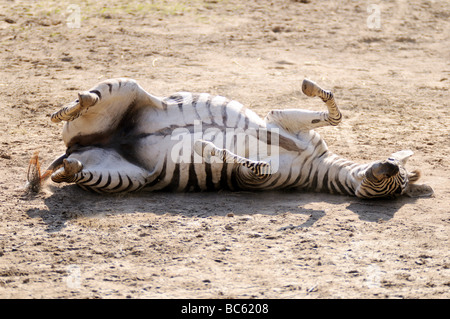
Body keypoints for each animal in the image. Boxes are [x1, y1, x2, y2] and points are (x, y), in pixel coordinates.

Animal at [25, 77, 432, 199]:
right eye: (397, 174)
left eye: (394, 186)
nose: (389, 165)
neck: (316, 164)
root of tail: (74, 147)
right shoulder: (281, 121)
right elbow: (334, 111)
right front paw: (309, 86)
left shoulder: (255, 180)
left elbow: (250, 164)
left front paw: (206, 147)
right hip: (126, 88)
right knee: (87, 102)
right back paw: (70, 107)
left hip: (123, 177)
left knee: (70, 172)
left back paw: (68, 168)